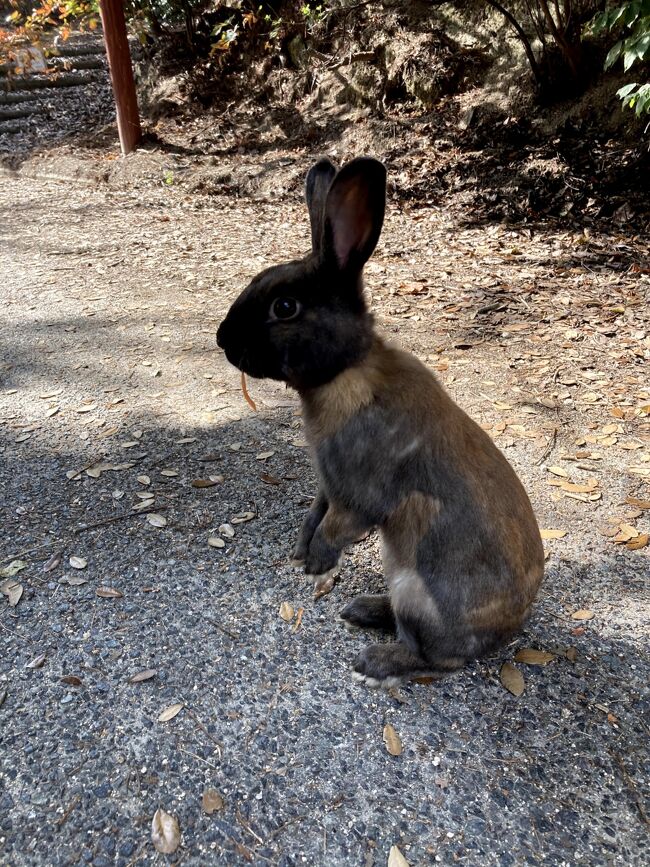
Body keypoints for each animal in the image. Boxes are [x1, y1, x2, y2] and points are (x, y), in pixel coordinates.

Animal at [216, 154, 540, 684]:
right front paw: (301, 552)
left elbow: (338, 527)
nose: (223, 339)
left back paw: (374, 657)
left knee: (434, 657)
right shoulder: (328, 485)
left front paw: (315, 564)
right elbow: (316, 514)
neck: (346, 371)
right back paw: (361, 611)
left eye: (285, 307)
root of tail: (508, 631)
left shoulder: (360, 493)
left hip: (415, 589)